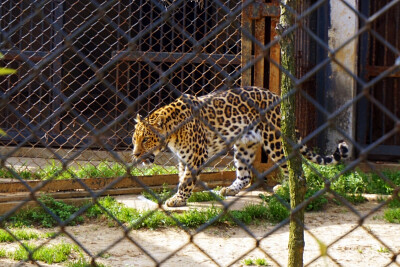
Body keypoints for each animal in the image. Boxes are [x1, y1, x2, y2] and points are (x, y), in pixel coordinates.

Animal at [132, 87, 346, 208]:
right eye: (134, 139)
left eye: (146, 139)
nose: (134, 154)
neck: (173, 131)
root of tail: (278, 99)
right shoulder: (184, 158)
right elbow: (182, 178)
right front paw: (180, 197)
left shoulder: (196, 156)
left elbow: (186, 180)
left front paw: (178, 200)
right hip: (244, 145)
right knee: (245, 176)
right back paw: (230, 190)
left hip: (275, 141)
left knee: (294, 164)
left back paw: (287, 188)